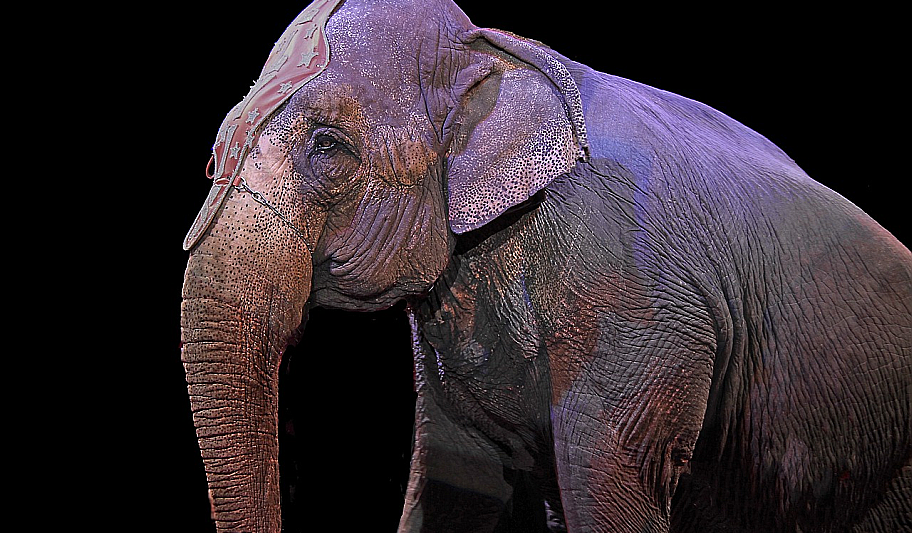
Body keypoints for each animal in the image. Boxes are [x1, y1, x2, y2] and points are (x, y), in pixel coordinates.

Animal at [179, 0, 912, 531]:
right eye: (216, 150)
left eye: (328, 146)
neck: (492, 48)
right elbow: (454, 468)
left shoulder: (630, 289)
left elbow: (605, 471)